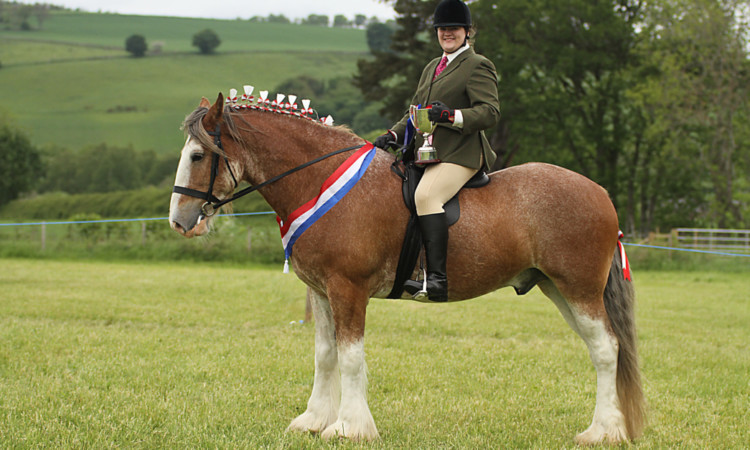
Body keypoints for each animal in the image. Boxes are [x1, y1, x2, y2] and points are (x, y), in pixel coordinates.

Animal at [169, 93, 648, 444]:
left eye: (197, 156)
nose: (179, 220)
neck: (320, 180)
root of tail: (600, 194)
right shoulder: (322, 292)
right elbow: (325, 354)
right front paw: (313, 420)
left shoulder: (348, 289)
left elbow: (350, 357)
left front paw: (350, 427)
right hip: (557, 288)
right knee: (600, 349)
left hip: (579, 289)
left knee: (606, 349)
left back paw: (602, 432)